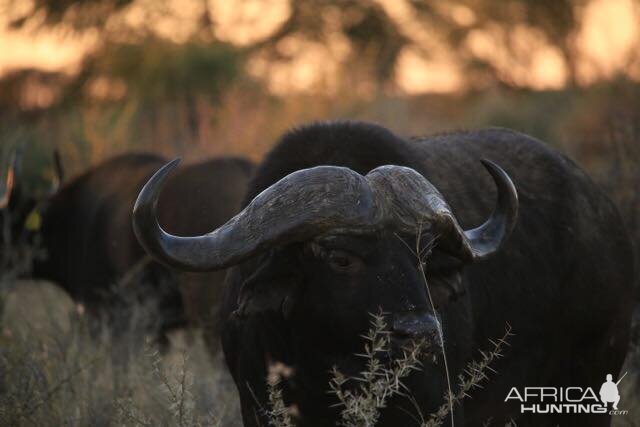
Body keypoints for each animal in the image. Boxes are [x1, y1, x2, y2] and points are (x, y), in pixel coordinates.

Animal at [132, 118, 632, 426]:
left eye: (423, 254)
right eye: (340, 257)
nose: (421, 334)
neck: (318, 362)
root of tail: (606, 216)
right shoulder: (258, 405)